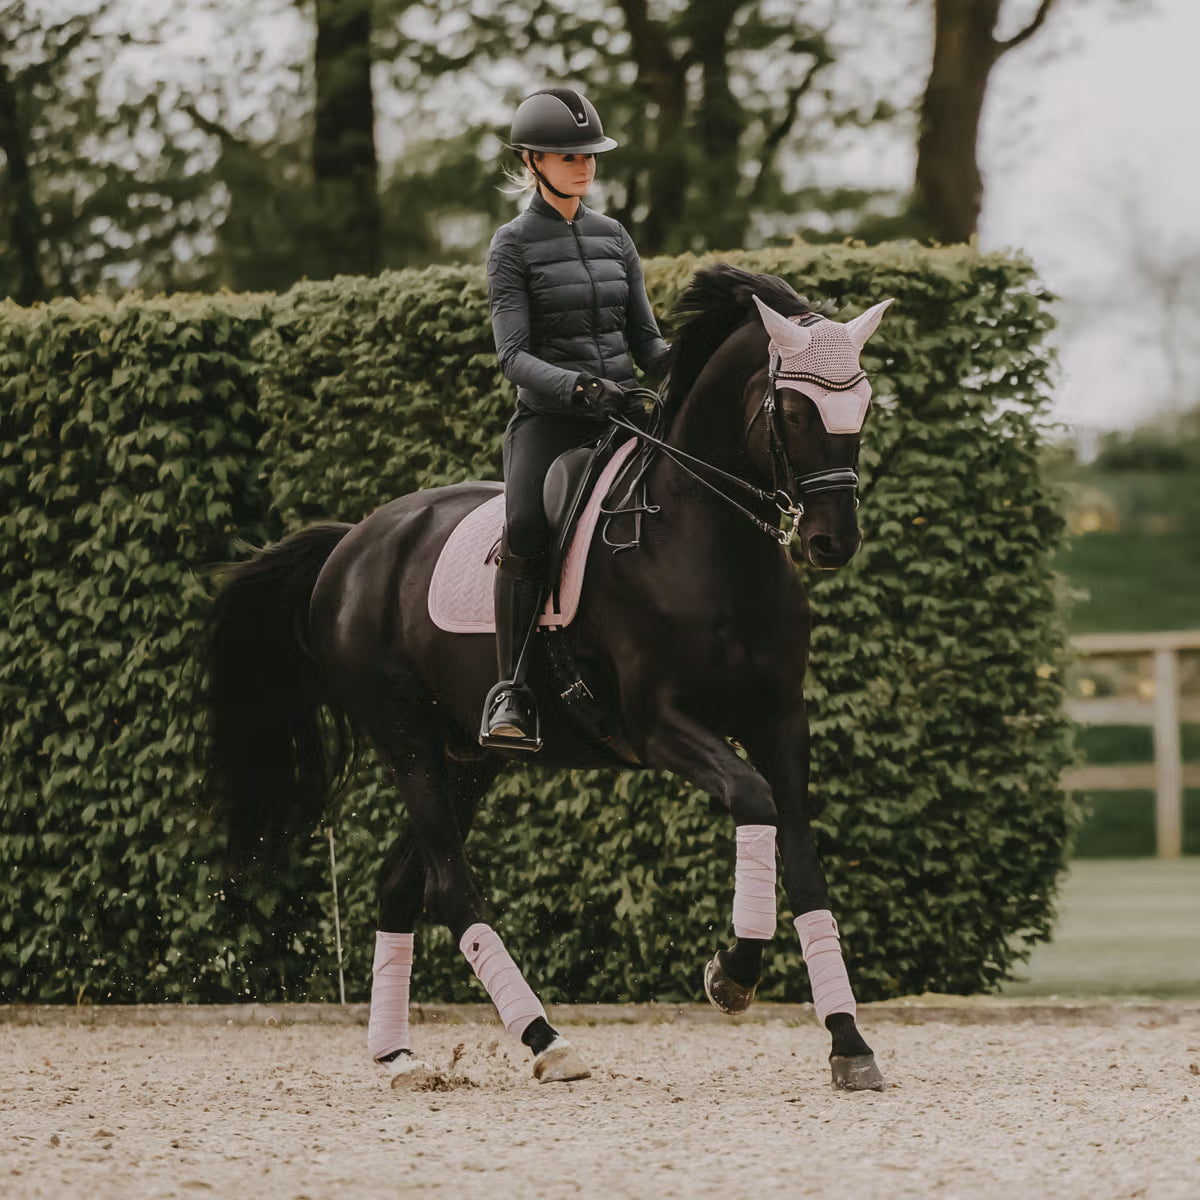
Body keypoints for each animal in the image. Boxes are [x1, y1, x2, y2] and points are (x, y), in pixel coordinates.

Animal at [203, 262, 894, 1092]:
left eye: (862, 404)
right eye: (791, 409)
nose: (832, 542)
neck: (708, 544)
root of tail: (354, 544)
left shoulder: (781, 721)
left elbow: (807, 866)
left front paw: (848, 1041)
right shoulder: (661, 725)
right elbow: (753, 801)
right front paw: (731, 973)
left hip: (470, 758)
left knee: (402, 883)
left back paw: (399, 1054)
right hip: (405, 739)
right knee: (450, 886)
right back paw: (544, 1038)